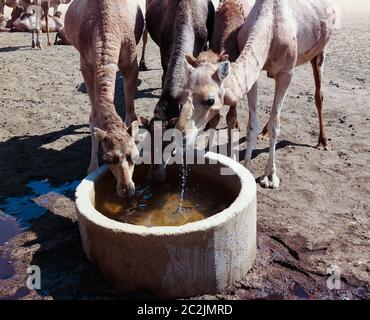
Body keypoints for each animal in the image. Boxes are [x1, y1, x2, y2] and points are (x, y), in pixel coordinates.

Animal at [65, 0, 143, 198]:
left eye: (134, 155)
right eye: (107, 159)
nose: (127, 190)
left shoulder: (130, 64)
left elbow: (131, 115)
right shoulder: (87, 64)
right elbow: (93, 119)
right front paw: (91, 167)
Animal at [178, 0, 336, 189]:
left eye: (210, 100)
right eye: (181, 97)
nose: (180, 134)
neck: (271, 28)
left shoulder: (286, 73)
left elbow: (276, 124)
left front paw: (270, 176)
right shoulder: (254, 73)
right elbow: (252, 125)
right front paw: (245, 168)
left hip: (320, 51)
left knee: (318, 96)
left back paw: (323, 142)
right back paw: (264, 132)